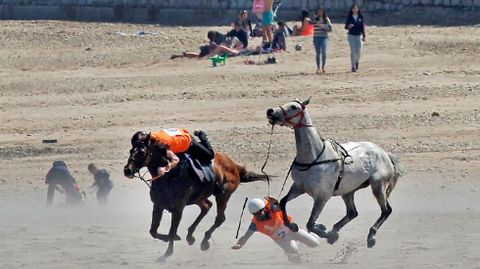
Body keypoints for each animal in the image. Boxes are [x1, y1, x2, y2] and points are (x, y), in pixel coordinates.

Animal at [124, 138, 266, 258]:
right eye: (131, 150)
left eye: (142, 152)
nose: (127, 170)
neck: (168, 176)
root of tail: (234, 165)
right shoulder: (158, 205)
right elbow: (153, 231)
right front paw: (174, 239)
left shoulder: (178, 209)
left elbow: (171, 231)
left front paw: (168, 253)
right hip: (198, 197)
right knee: (207, 206)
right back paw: (190, 235)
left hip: (223, 194)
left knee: (220, 218)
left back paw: (204, 241)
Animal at [266, 97, 402, 246]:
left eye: (293, 107)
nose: (270, 111)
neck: (313, 157)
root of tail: (384, 154)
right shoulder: (299, 187)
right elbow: (283, 202)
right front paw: (293, 225)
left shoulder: (322, 197)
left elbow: (310, 224)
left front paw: (327, 234)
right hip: (348, 191)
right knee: (352, 212)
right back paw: (336, 229)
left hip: (378, 185)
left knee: (386, 210)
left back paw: (371, 235)